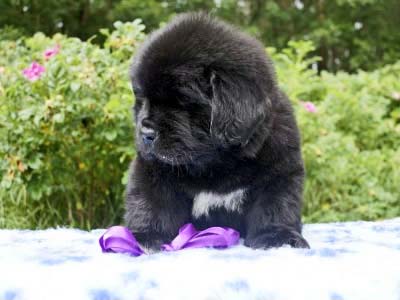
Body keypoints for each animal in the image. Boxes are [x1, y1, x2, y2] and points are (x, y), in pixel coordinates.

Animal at [125, 12, 310, 250]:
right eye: (142, 100)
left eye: (182, 102)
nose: (146, 132)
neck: (216, 164)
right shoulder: (152, 169)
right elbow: (151, 202)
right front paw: (146, 236)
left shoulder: (281, 170)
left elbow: (276, 205)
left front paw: (277, 236)